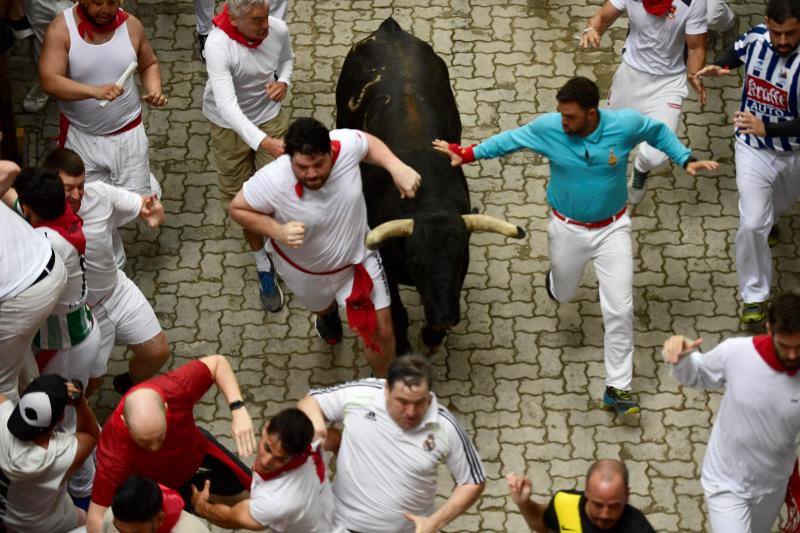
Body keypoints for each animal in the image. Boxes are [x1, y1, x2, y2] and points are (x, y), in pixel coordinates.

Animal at [332, 17, 524, 354]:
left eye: (460, 258)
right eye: (418, 262)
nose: (446, 316)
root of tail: (390, 29)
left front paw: (431, 337)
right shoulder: (384, 264)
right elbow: (396, 313)